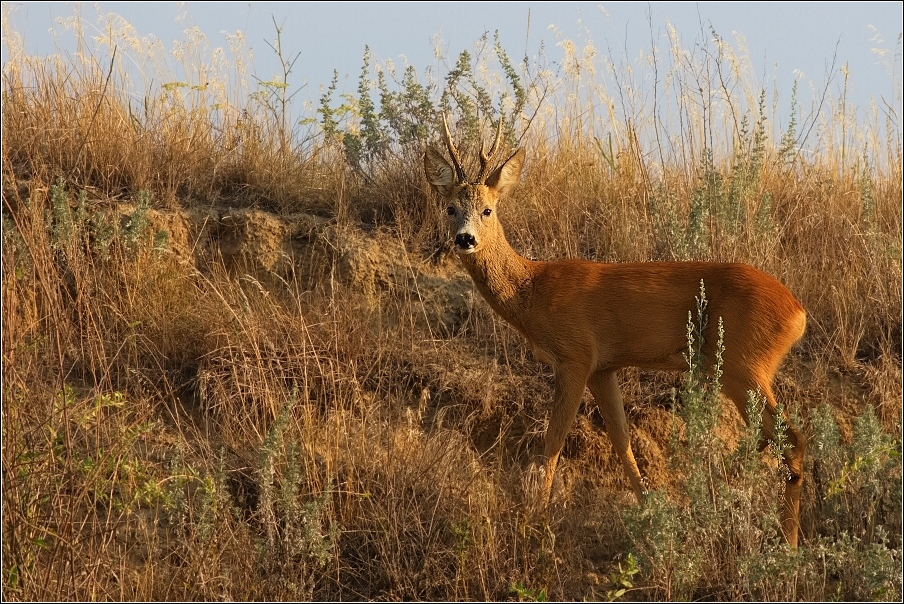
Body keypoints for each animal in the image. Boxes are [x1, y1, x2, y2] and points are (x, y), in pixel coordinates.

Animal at [420, 117, 808, 548]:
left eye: (488, 209)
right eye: (451, 207)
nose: (464, 239)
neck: (533, 290)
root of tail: (798, 312)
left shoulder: (575, 355)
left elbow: (553, 442)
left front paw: (534, 522)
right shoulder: (603, 368)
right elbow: (623, 444)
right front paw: (653, 519)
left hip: (744, 366)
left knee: (792, 442)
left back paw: (788, 545)